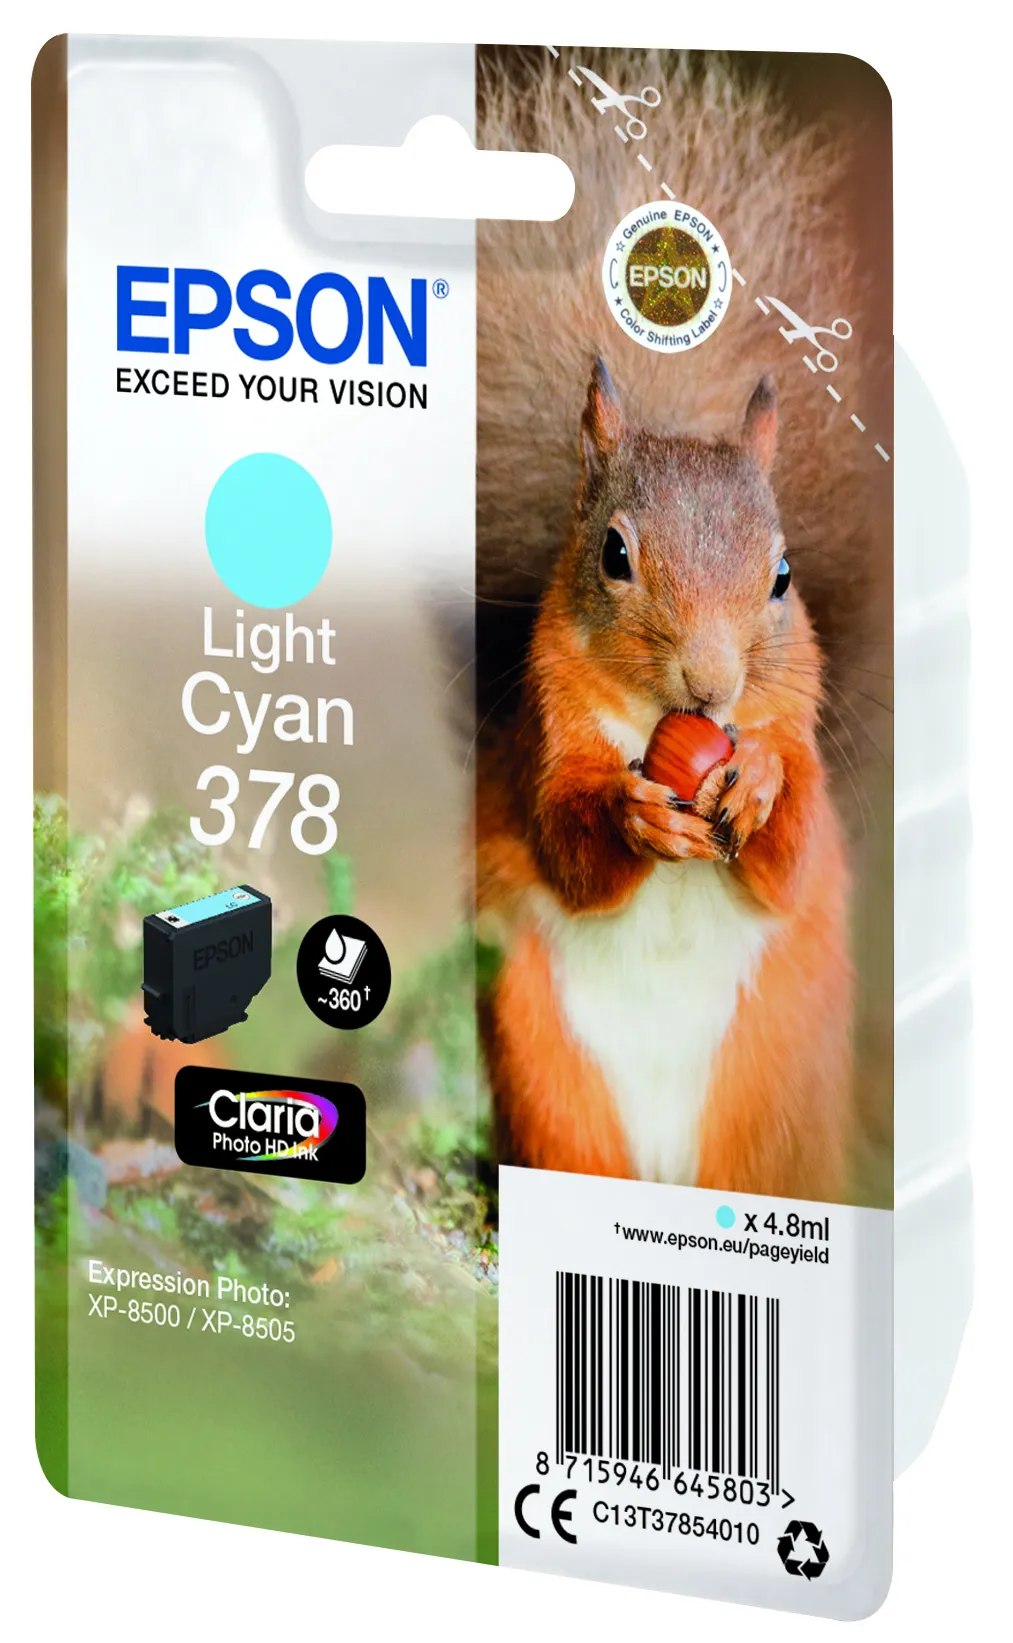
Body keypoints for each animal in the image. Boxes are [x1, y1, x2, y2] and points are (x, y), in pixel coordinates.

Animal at [471, 49, 892, 1200]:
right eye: (614, 555)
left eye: (782, 576)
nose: (710, 687)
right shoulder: (545, 734)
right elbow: (565, 843)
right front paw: (631, 816)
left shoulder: (796, 727)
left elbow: (790, 850)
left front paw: (755, 783)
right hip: (547, 1071)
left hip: (770, 1094)